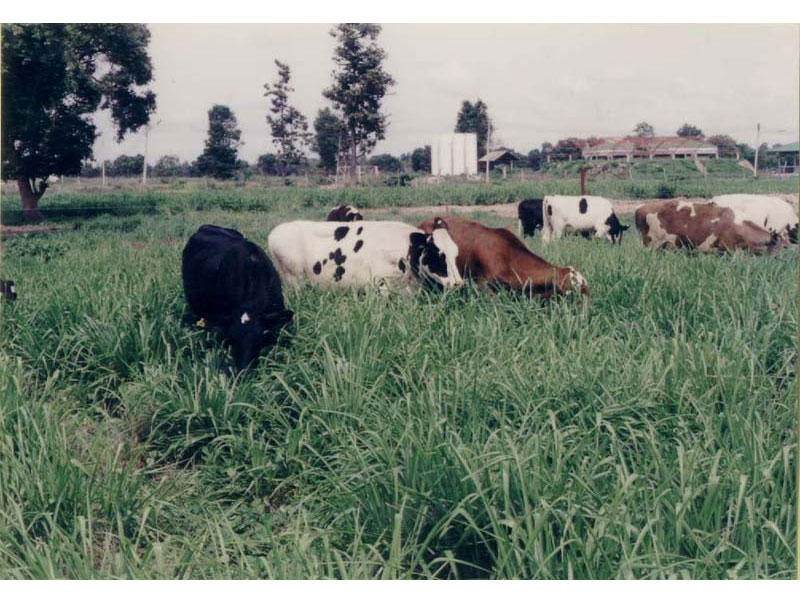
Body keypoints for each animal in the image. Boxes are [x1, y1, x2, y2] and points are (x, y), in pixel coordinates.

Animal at [268, 218, 462, 292]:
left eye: (455, 255)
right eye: (438, 255)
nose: (458, 283)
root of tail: (275, 232)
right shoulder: (381, 286)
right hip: (294, 281)